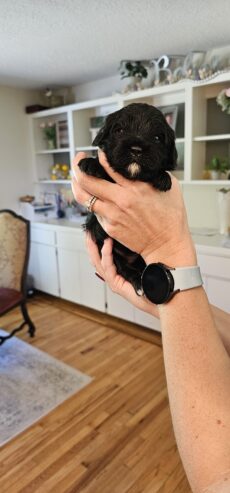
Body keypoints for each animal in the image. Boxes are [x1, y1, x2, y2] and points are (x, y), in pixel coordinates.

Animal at [79, 100, 178, 292]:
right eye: (119, 130)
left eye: (157, 138)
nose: (136, 149)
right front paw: (91, 163)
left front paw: (163, 177)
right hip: (106, 245)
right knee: (121, 265)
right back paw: (137, 280)